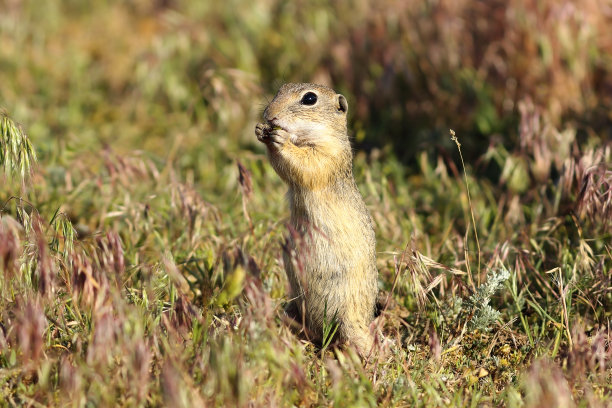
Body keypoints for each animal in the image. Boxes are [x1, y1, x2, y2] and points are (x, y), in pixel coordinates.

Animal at [253, 82, 378, 354]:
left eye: (309, 99)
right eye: (280, 89)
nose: (269, 115)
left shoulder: (328, 155)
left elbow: (307, 164)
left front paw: (280, 139)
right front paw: (260, 131)